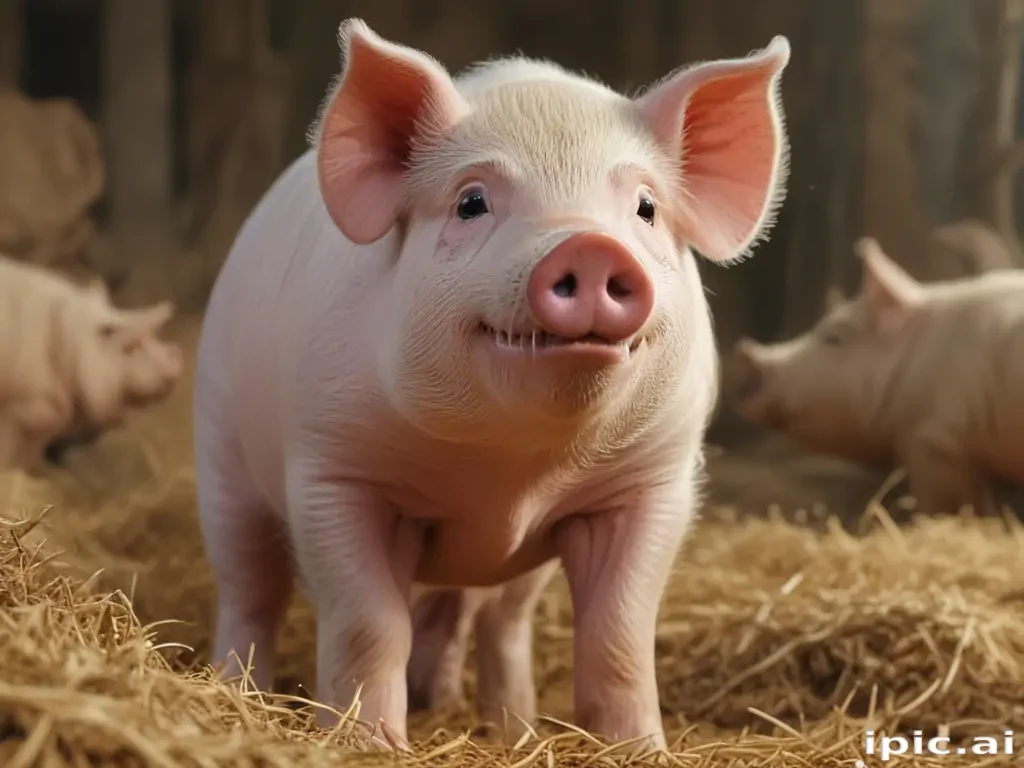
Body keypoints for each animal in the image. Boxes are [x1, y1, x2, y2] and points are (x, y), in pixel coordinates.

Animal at [193, 18, 791, 750]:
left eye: (646, 208)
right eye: (472, 202)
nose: (590, 247)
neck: (510, 474)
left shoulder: (654, 483)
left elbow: (619, 634)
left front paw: (641, 750)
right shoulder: (334, 473)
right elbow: (368, 622)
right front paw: (370, 745)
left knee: (498, 622)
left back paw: (508, 726)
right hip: (220, 451)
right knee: (250, 586)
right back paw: (233, 687)